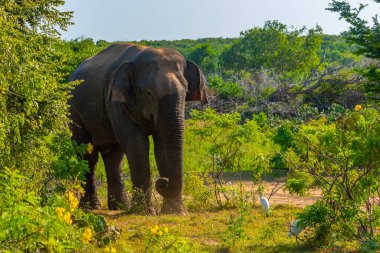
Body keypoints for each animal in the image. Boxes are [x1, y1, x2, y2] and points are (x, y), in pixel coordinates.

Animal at [70, 43, 209, 213]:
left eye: (186, 91)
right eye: (148, 93)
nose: (162, 181)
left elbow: (162, 145)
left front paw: (175, 212)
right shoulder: (117, 102)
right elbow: (137, 144)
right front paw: (146, 212)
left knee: (113, 156)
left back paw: (120, 206)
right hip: (74, 110)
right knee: (87, 152)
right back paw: (91, 207)